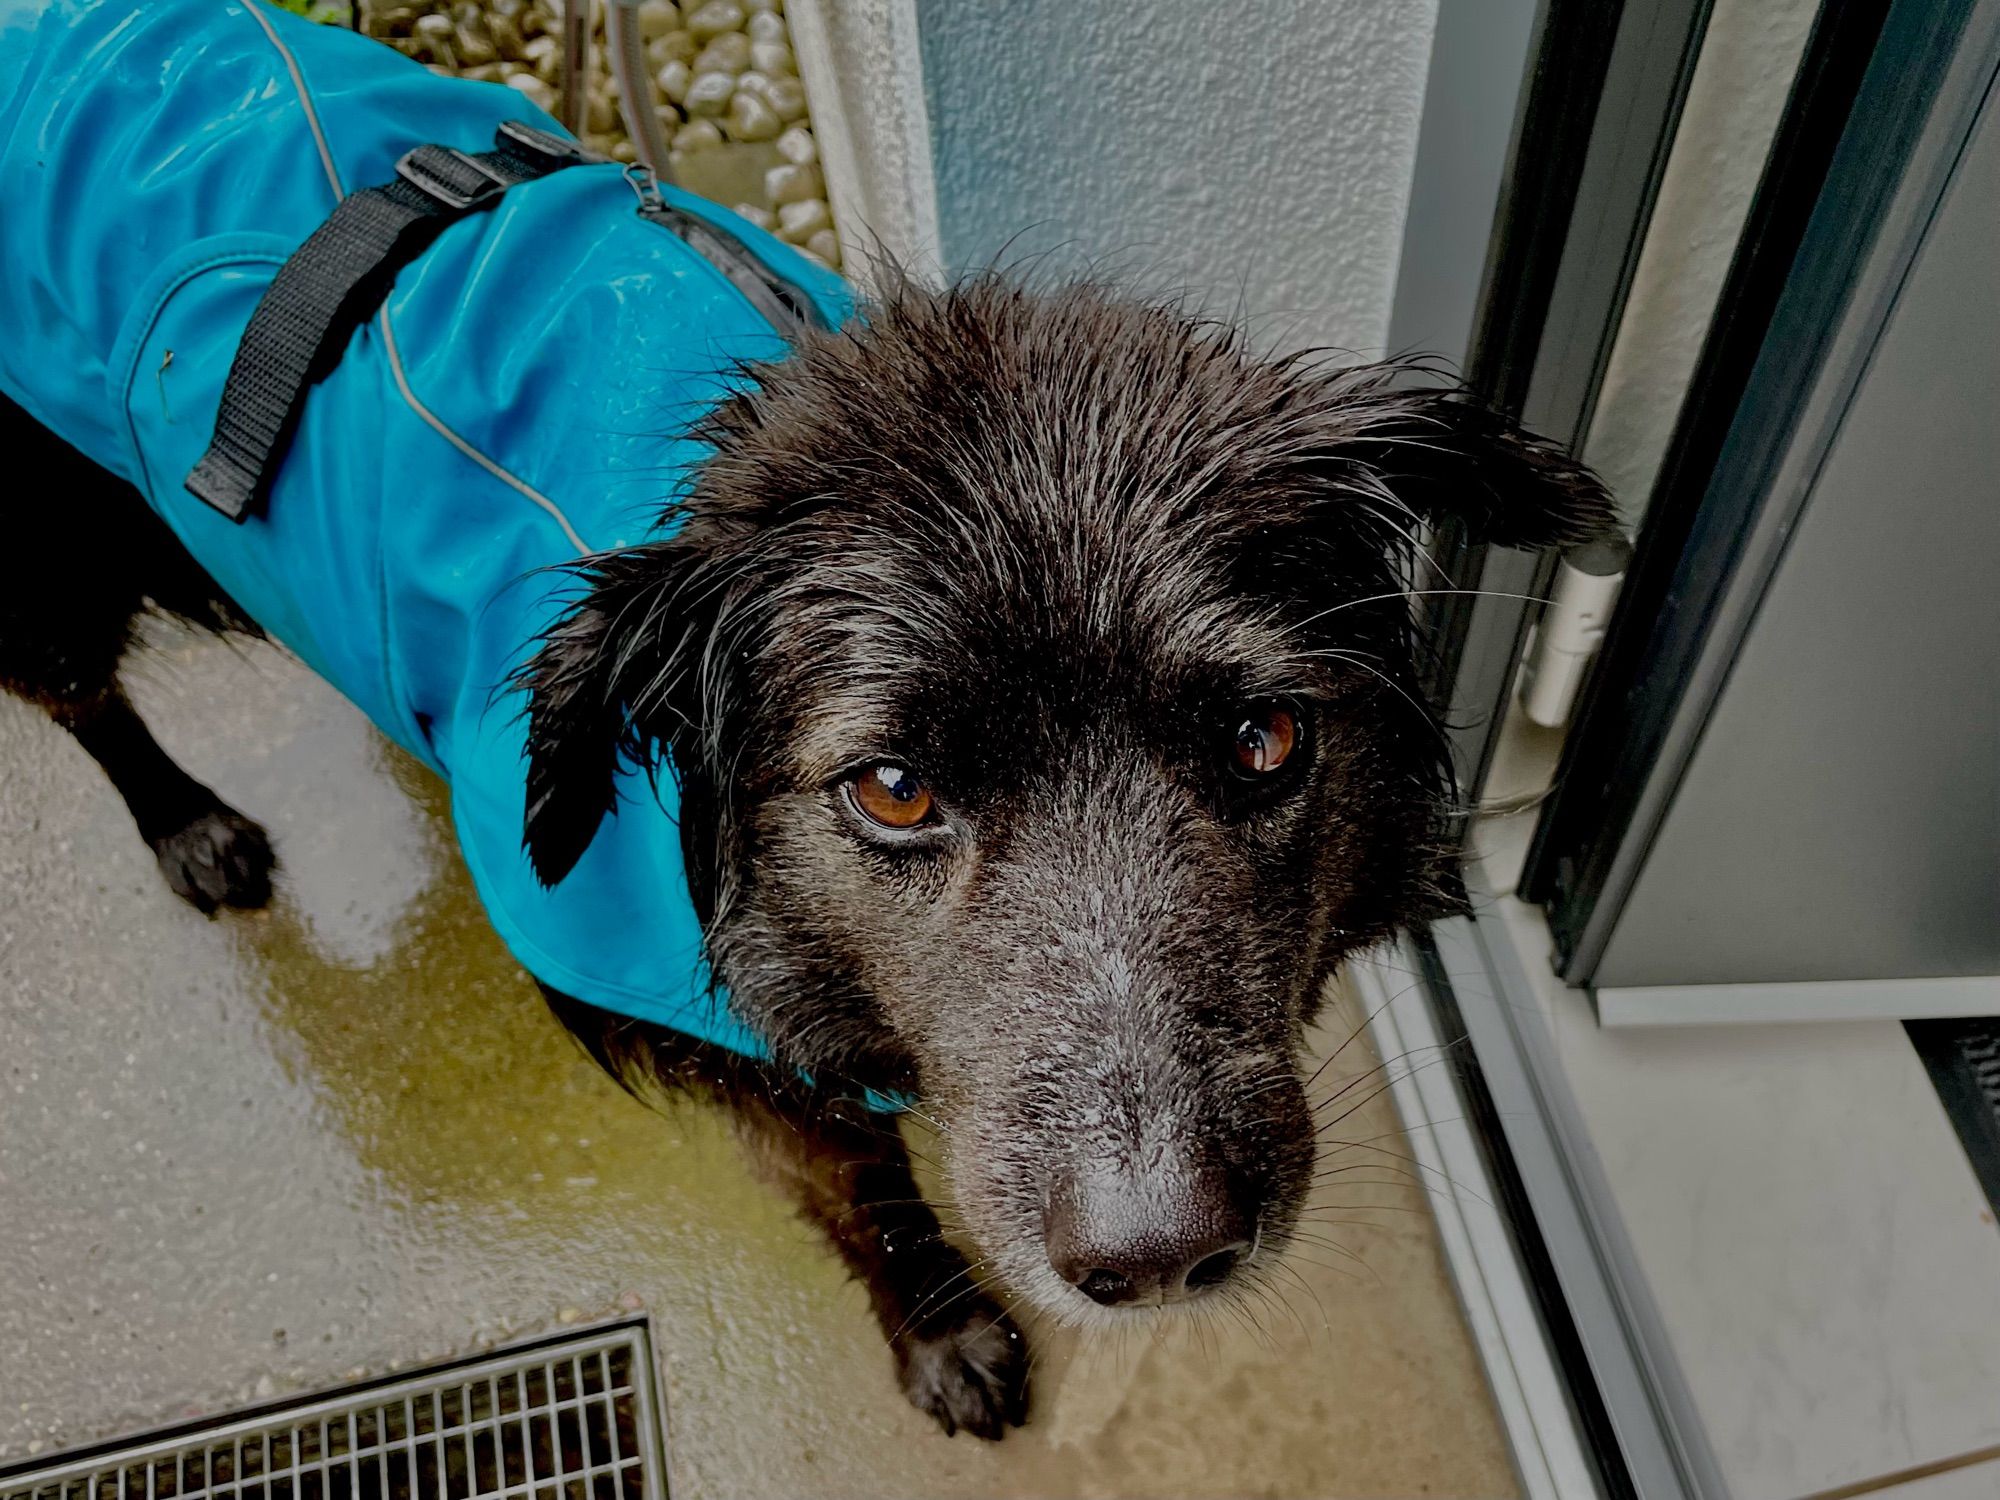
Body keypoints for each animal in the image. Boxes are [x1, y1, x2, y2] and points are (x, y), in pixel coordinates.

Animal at [0, 276, 1608, 1440]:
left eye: (1265, 739)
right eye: (891, 790)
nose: (1157, 1256)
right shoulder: (717, 1040)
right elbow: (856, 1183)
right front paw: (945, 1328)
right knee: (76, 695)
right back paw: (186, 826)